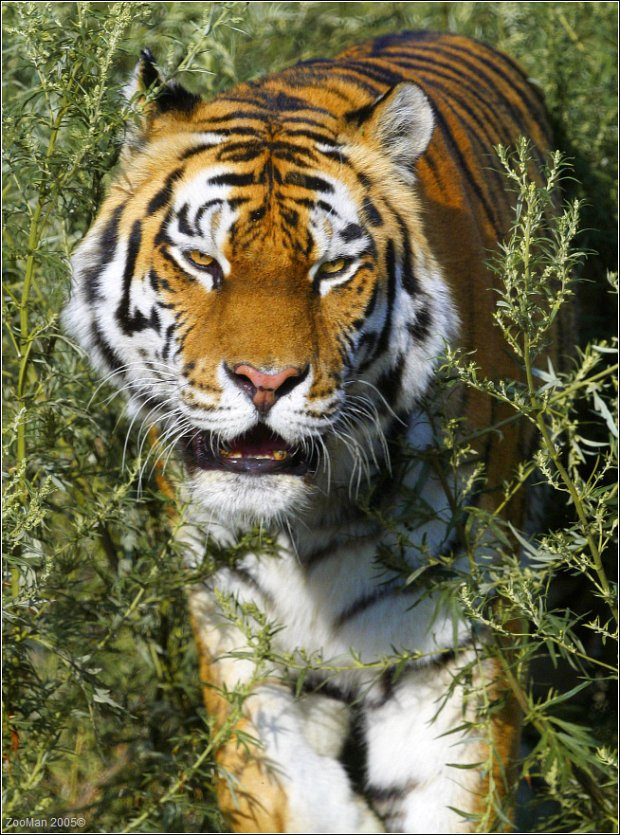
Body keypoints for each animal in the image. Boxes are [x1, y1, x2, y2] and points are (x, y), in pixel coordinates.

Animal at [64, 29, 553, 834]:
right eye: (203, 260)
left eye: (332, 269)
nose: (265, 381)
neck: (308, 529)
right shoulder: (243, 657)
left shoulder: (449, 660)